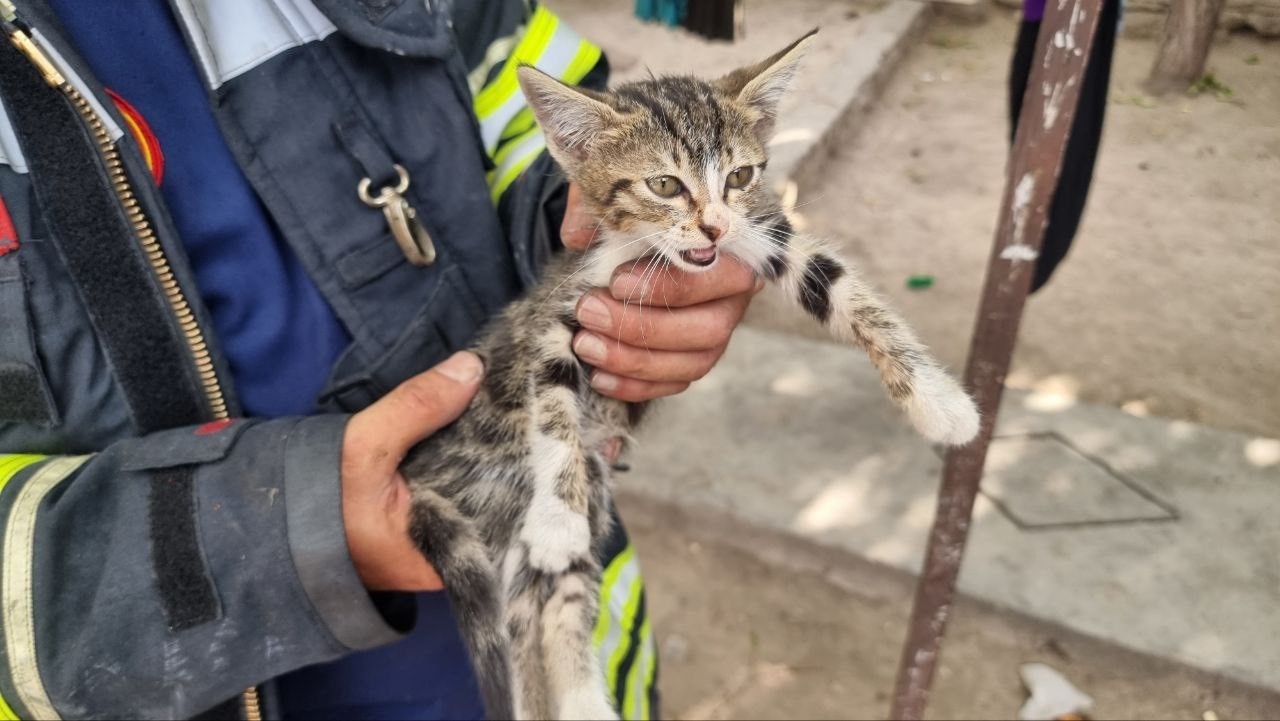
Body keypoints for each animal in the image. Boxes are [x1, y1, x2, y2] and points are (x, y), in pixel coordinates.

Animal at [399, 33, 977, 721]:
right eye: (664, 184)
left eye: (740, 176)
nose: (713, 226)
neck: (645, 252)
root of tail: (423, 478)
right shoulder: (557, 315)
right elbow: (553, 405)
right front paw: (558, 516)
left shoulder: (763, 234)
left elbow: (847, 291)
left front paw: (941, 402)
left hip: (568, 506)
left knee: (548, 602)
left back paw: (584, 701)